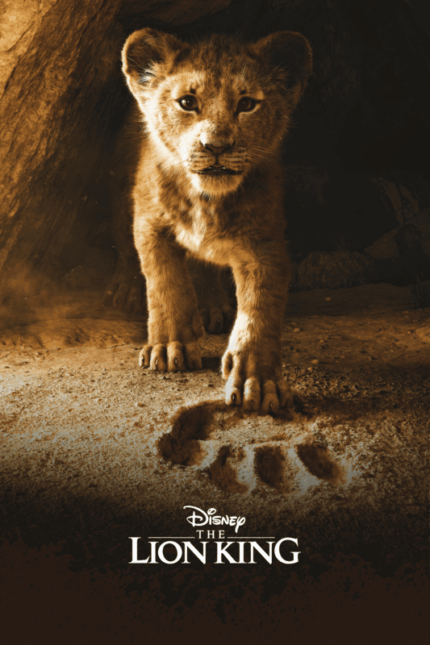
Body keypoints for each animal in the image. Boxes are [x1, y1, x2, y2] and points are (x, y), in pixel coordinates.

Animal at [119, 28, 312, 413]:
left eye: (247, 104)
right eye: (187, 102)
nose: (216, 146)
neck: (206, 201)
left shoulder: (265, 244)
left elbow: (260, 310)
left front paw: (258, 380)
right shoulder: (149, 223)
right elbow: (165, 283)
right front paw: (170, 346)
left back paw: (212, 307)